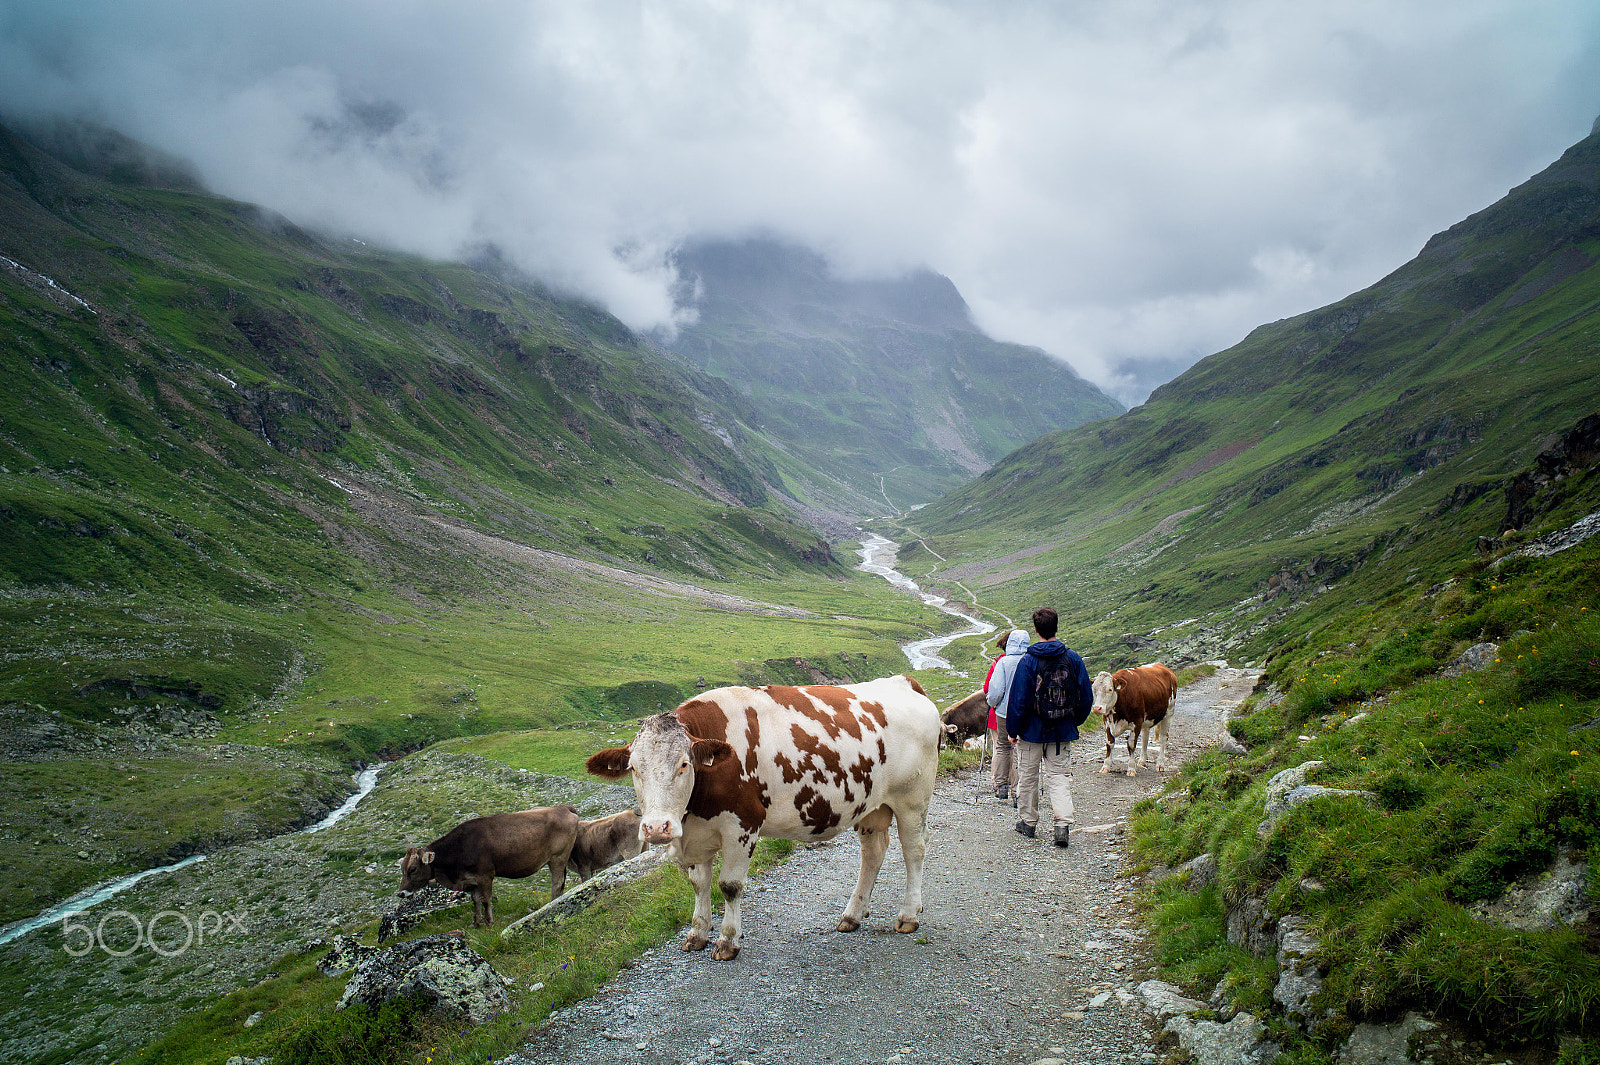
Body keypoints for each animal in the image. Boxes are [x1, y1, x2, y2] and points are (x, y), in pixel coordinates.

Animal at [396, 805, 579, 921]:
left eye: (413, 869)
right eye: (402, 869)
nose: (401, 893)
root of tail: (563, 808)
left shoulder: (485, 875)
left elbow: (486, 900)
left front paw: (489, 921)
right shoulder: (471, 879)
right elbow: (475, 900)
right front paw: (477, 922)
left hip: (558, 857)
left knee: (557, 883)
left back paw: (552, 903)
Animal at [585, 674, 934, 959]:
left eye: (684, 764)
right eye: (633, 768)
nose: (657, 828)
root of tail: (903, 682)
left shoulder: (742, 826)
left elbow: (729, 885)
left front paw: (728, 940)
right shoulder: (695, 834)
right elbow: (699, 883)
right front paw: (697, 933)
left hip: (912, 799)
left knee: (914, 851)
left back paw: (908, 915)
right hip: (872, 806)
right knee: (872, 854)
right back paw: (852, 915)